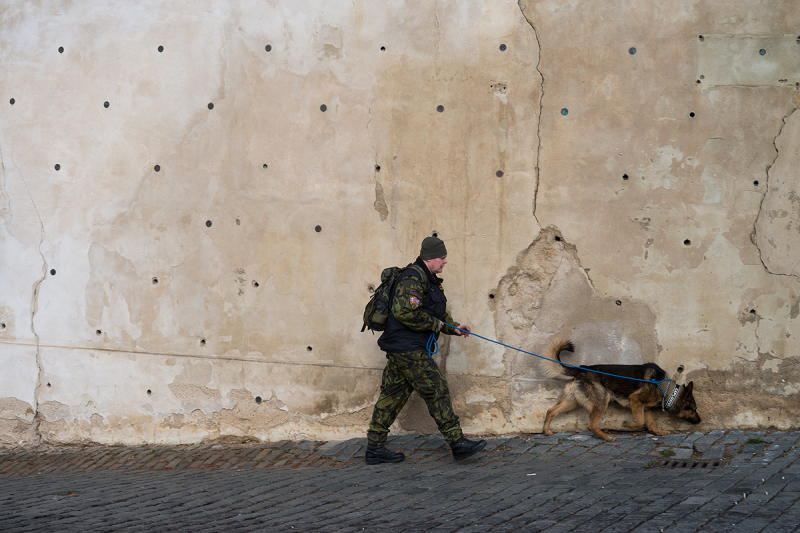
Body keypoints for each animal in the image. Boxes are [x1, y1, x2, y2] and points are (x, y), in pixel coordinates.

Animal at [544, 336, 700, 440]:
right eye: (693, 409)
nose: (700, 421)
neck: (667, 389)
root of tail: (581, 370)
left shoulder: (645, 408)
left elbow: (650, 422)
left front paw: (658, 431)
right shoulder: (635, 400)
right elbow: (640, 421)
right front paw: (627, 425)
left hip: (572, 402)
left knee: (551, 410)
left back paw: (546, 431)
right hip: (601, 402)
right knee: (591, 425)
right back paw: (606, 437)